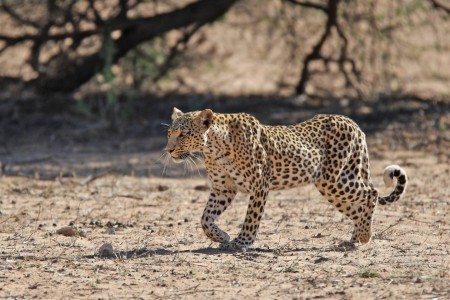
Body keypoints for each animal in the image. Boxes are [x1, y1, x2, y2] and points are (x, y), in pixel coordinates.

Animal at [165, 108, 408, 251]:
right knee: (357, 207)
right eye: (169, 134)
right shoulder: (223, 188)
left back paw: (365, 236)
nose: (168, 150)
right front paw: (221, 237)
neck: (213, 147)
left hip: (336, 180)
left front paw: (242, 242)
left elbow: (251, 217)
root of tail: (352, 122)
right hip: (330, 186)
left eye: (183, 134)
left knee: (372, 193)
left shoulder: (259, 185)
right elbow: (205, 218)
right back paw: (355, 237)